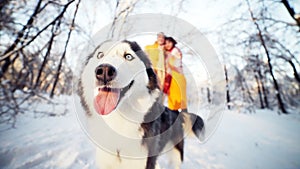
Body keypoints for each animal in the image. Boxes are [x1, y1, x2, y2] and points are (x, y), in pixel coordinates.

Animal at [78, 40, 204, 168]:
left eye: (128, 56)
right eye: (100, 55)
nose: (104, 71)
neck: (119, 120)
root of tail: (176, 112)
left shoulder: (146, 162)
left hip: (175, 156)